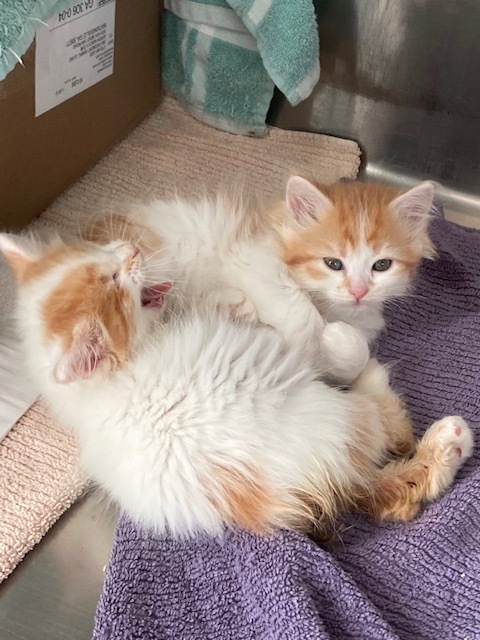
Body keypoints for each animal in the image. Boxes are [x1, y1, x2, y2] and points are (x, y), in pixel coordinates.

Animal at [0, 232, 472, 536]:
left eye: (101, 252)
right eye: (113, 281)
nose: (130, 248)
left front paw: (229, 301)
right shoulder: (279, 345)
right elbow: (307, 335)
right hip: (329, 413)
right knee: (385, 425)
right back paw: (445, 437)